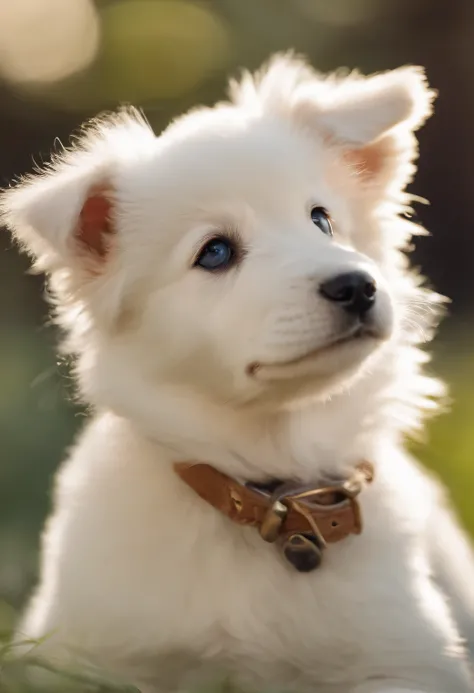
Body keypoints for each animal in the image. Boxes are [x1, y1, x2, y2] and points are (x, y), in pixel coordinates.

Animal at [2, 54, 474, 692]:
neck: (274, 495)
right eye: (216, 252)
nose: (357, 286)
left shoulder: (407, 657)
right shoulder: (80, 653)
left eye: (322, 220)